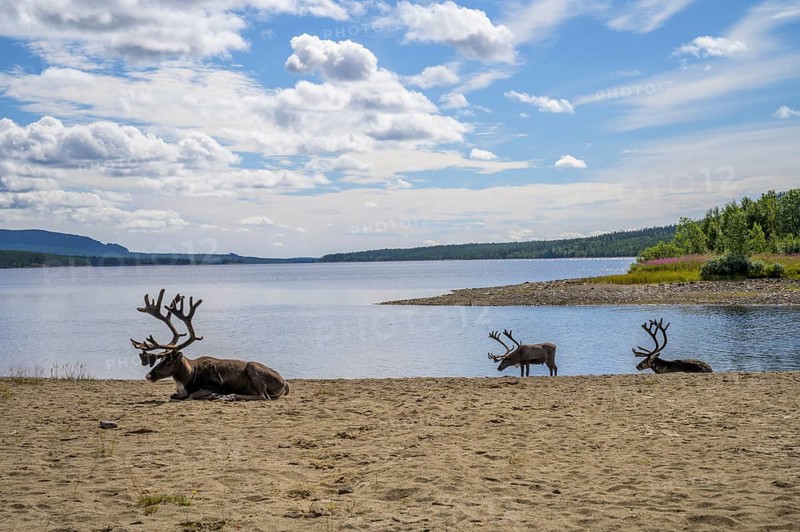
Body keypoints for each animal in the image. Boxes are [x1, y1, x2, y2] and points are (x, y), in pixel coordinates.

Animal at [131, 289, 290, 401]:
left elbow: (191, 395)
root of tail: (285, 382)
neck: (188, 376)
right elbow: (174, 395)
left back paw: (229, 396)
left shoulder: (215, 384)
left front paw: (214, 395)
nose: (148, 375)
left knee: (264, 396)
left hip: (253, 367)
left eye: (169, 362)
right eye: (161, 359)